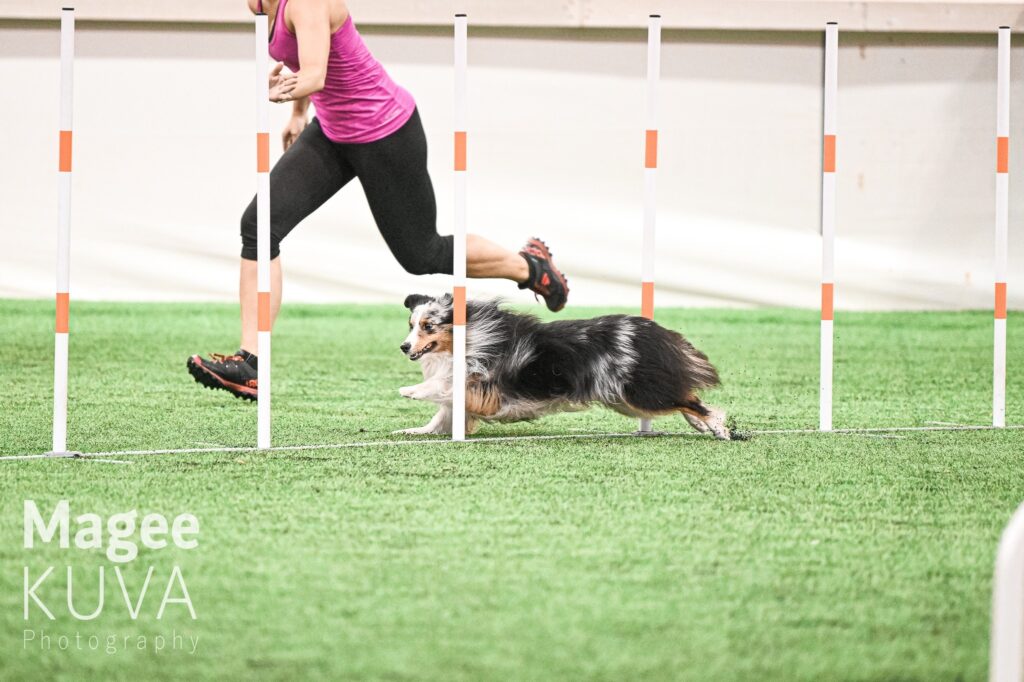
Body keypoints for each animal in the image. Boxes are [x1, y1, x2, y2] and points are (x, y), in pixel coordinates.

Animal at [397, 294, 729, 438]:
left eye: (428, 326)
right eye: (411, 325)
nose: (404, 347)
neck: (475, 334)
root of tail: (655, 331)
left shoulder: (484, 388)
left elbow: (443, 387)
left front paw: (411, 390)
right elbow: (442, 415)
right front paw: (414, 431)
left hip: (639, 393)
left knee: (690, 400)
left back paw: (717, 427)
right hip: (626, 400)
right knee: (686, 397)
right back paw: (703, 426)